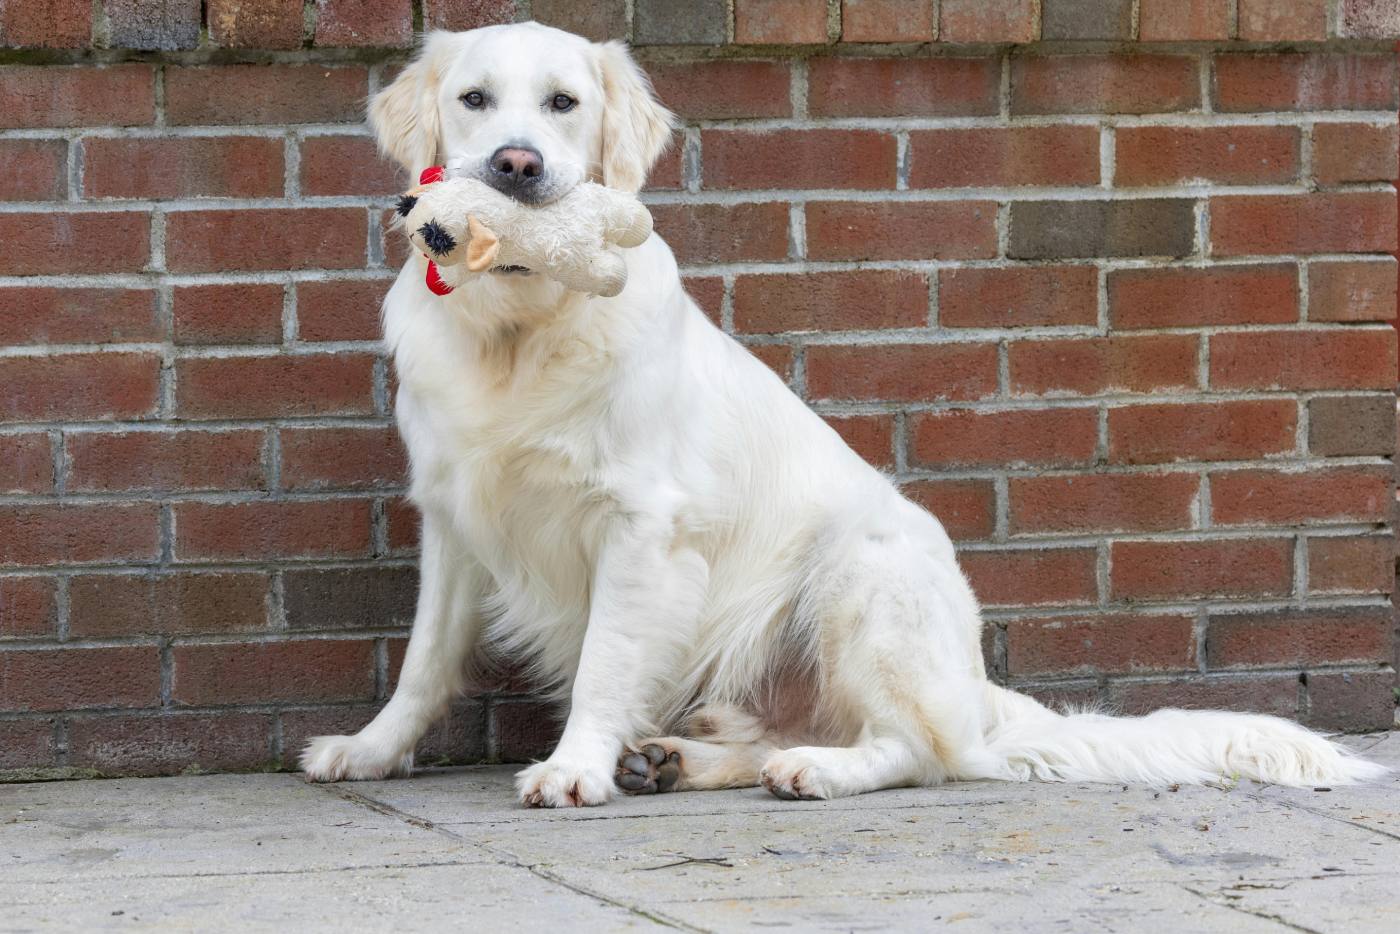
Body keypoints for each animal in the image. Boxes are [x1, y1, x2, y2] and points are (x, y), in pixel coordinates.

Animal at [301, 23, 1383, 812]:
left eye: (564, 103)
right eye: (474, 100)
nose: (516, 165)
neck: (520, 328)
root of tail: (978, 687)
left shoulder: (643, 525)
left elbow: (605, 658)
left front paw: (573, 766)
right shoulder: (452, 515)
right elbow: (423, 660)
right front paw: (371, 748)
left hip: (859, 574)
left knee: (920, 749)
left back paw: (814, 770)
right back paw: (677, 760)